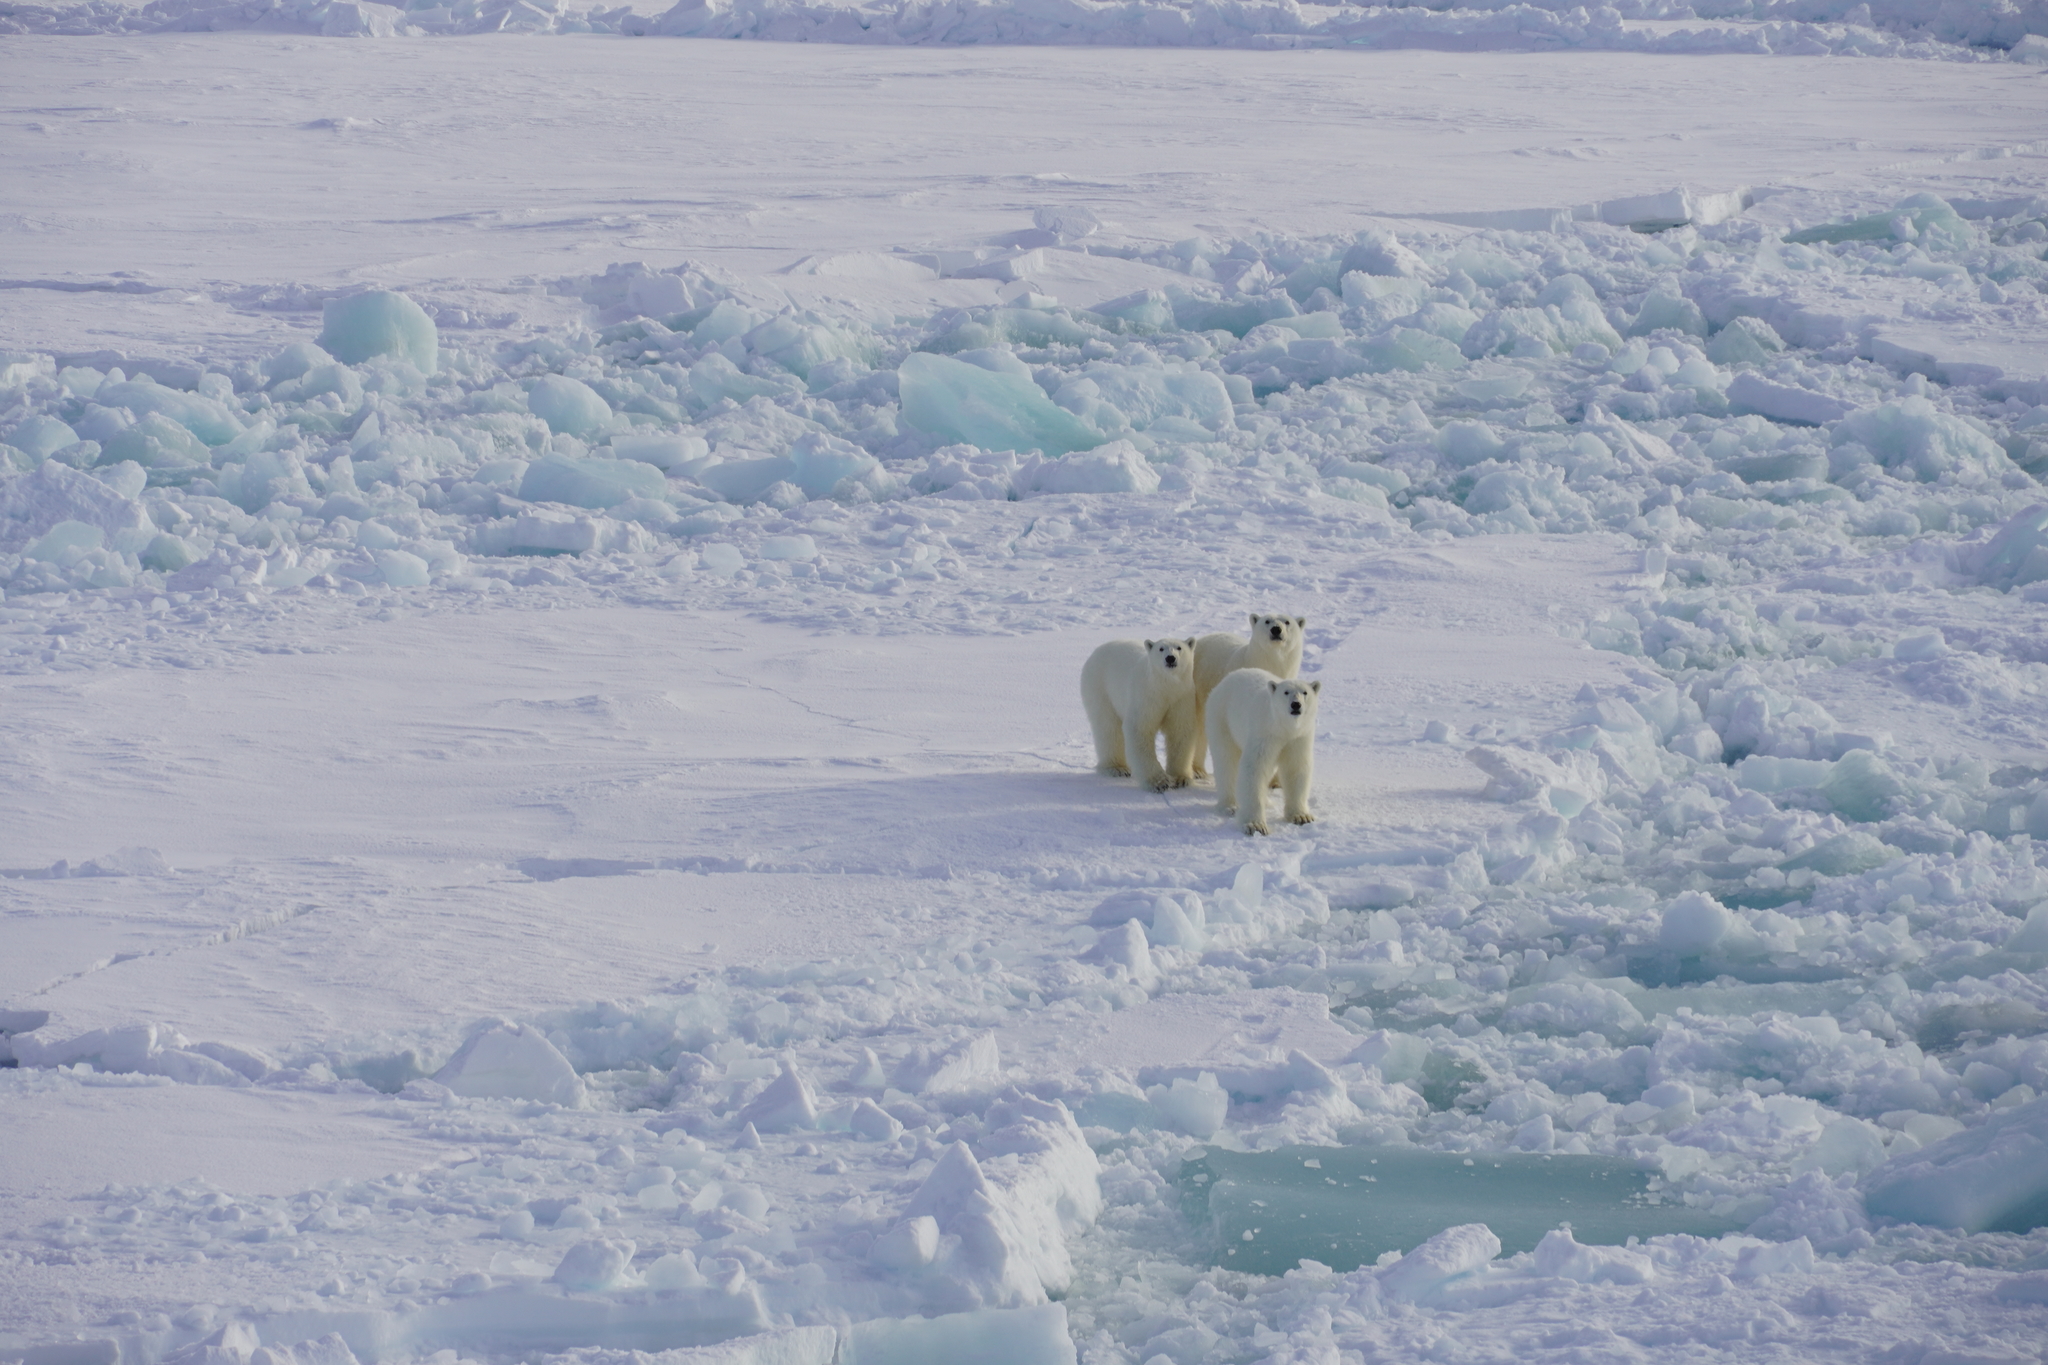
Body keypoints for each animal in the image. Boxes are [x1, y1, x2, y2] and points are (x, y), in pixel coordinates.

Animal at [1089, 638, 1196, 789]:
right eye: (1161, 648)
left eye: (1179, 647)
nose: (1170, 658)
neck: (1164, 687)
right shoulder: (1146, 696)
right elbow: (1140, 729)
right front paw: (1159, 782)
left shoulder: (1181, 697)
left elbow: (1180, 731)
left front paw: (1181, 778)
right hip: (1100, 688)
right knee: (1108, 727)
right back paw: (1117, 768)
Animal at [1204, 667, 1318, 839]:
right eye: (1286, 692)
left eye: (1305, 692)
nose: (1296, 705)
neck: (1283, 727)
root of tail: (1225, 680)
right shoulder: (1265, 732)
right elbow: (1254, 768)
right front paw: (1255, 825)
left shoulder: (1298, 737)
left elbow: (1296, 768)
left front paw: (1301, 816)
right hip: (1222, 719)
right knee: (1226, 761)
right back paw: (1230, 806)